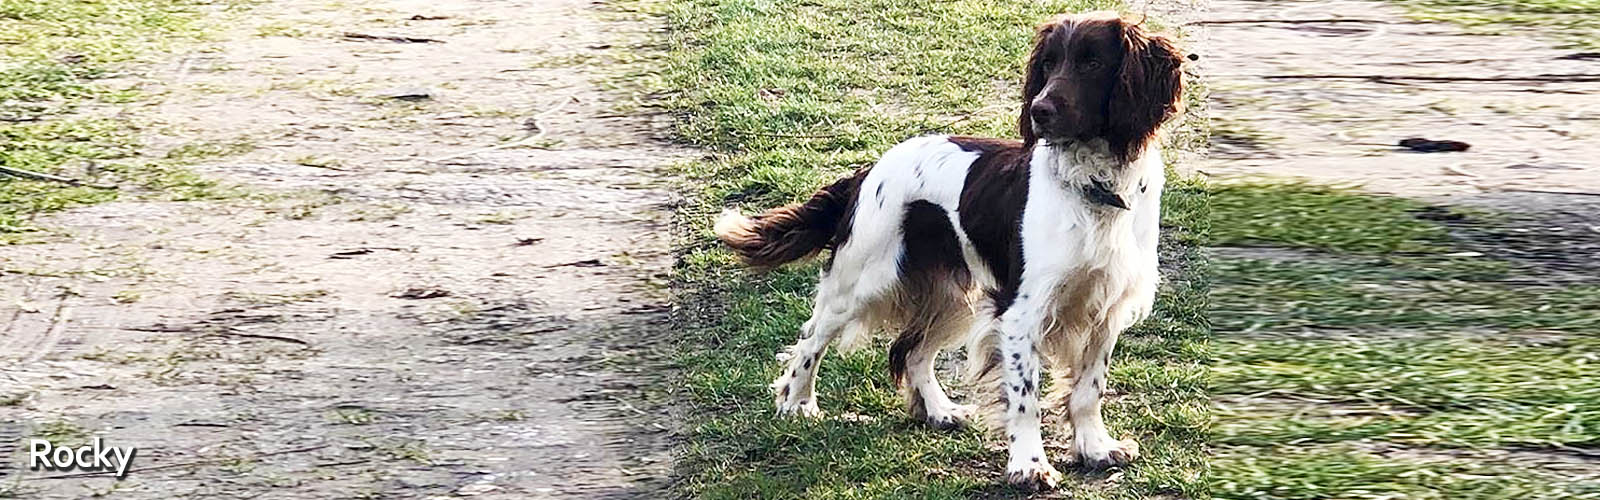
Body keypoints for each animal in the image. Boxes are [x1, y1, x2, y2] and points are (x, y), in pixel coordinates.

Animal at [713, 10, 1190, 487]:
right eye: (1048, 64)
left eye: (1092, 63)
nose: (1039, 110)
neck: (1094, 189)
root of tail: (868, 170)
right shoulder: (1020, 312)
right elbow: (1026, 398)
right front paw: (1030, 465)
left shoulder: (1105, 308)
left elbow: (1089, 389)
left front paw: (1096, 448)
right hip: (861, 281)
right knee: (811, 339)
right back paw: (797, 403)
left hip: (954, 296)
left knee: (912, 351)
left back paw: (939, 411)